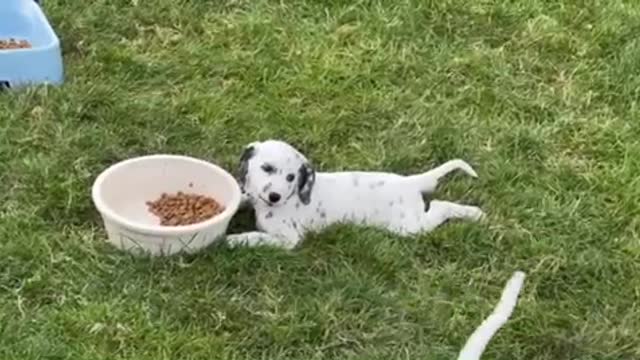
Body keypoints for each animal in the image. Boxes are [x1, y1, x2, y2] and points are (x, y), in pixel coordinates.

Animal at [226, 139, 484, 249]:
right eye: (267, 168)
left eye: (291, 177)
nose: (275, 197)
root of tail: (410, 182)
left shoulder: (289, 239)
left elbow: (258, 237)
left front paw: (234, 240)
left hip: (410, 226)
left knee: (441, 205)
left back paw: (475, 214)